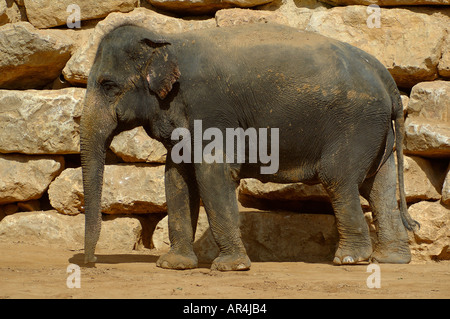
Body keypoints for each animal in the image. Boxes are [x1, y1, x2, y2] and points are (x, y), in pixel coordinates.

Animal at [80, 22, 418, 272]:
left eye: (107, 85)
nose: (91, 263)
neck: (169, 40)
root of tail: (386, 78)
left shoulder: (210, 109)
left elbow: (213, 173)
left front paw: (229, 267)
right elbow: (176, 177)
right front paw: (173, 266)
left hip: (355, 124)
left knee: (338, 179)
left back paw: (350, 260)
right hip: (377, 131)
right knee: (379, 184)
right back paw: (391, 260)